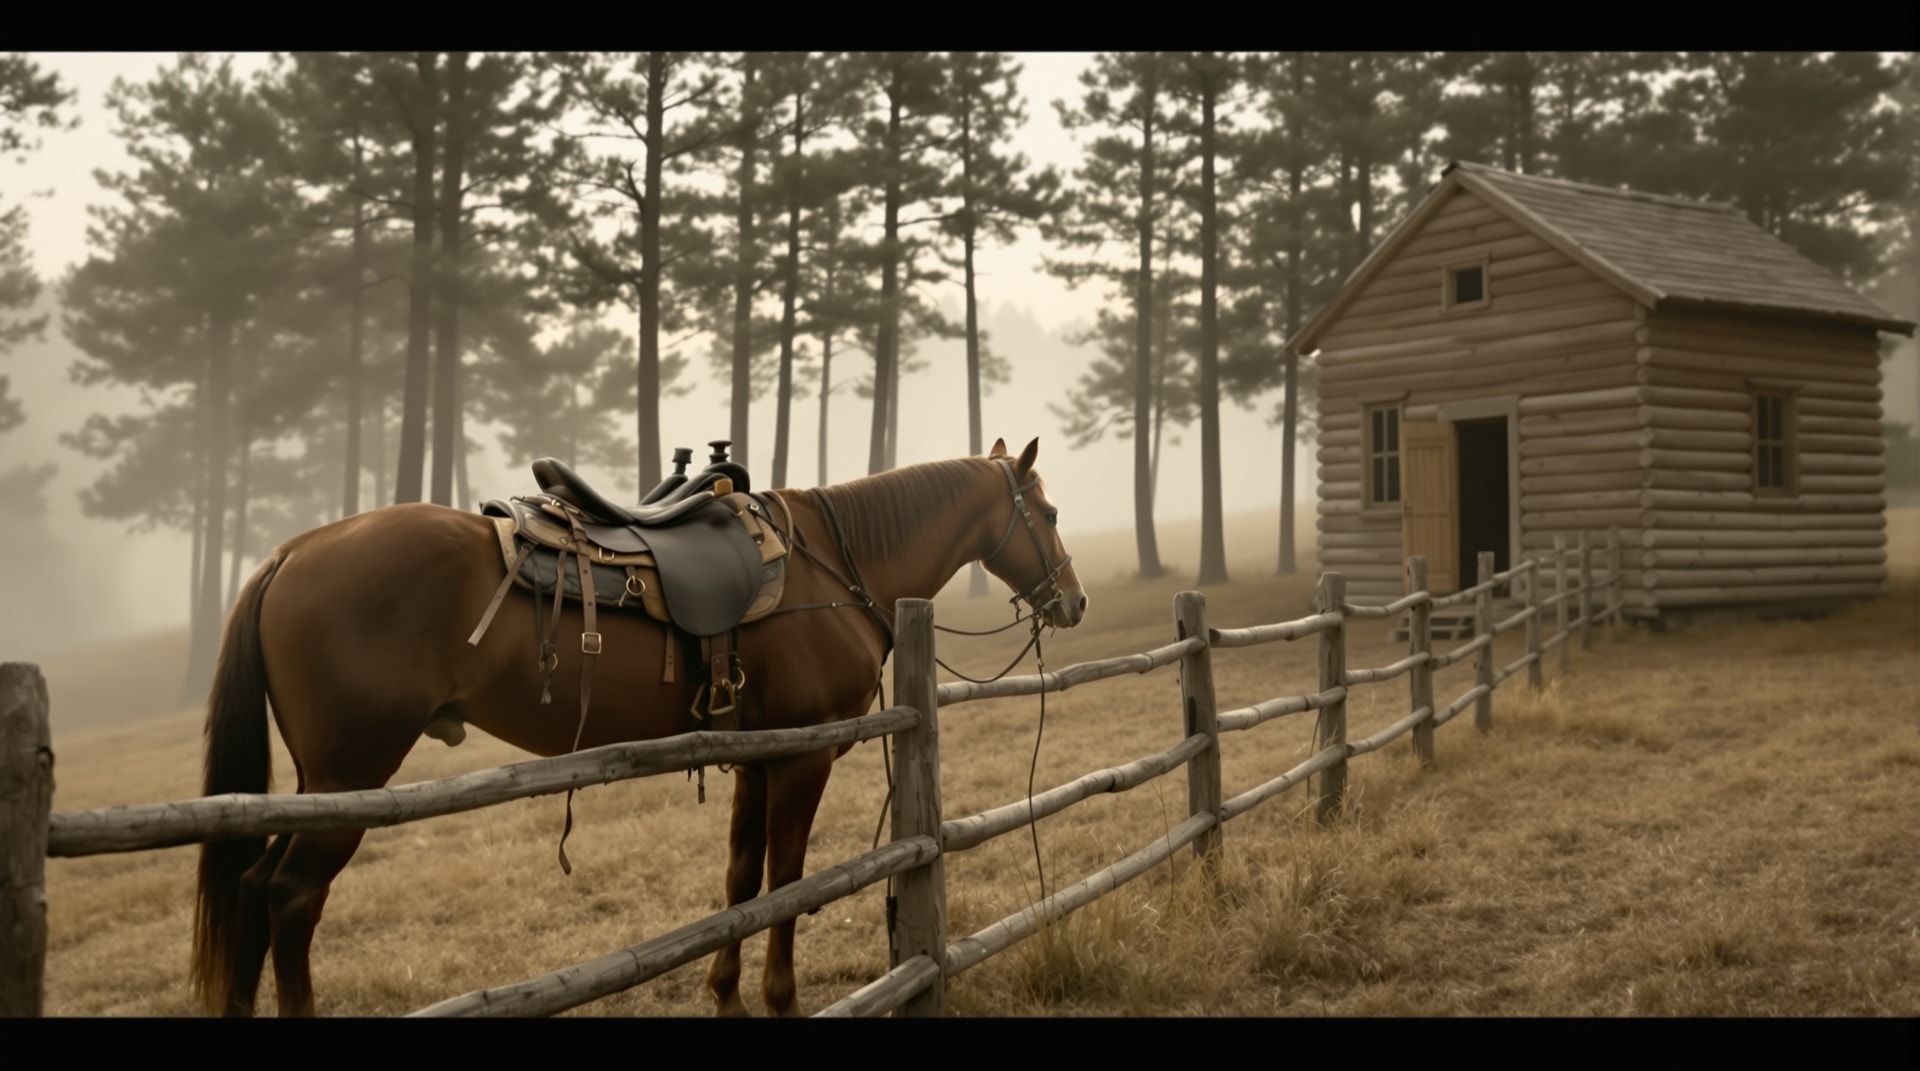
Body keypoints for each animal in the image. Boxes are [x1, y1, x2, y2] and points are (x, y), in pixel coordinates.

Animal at [190, 437, 1086, 1017]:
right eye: (1046, 510)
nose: (1073, 599)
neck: (835, 563)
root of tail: (290, 554)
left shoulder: (755, 759)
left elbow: (741, 883)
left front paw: (726, 996)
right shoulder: (800, 760)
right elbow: (789, 884)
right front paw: (778, 999)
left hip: (316, 783)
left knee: (251, 889)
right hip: (350, 775)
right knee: (290, 898)